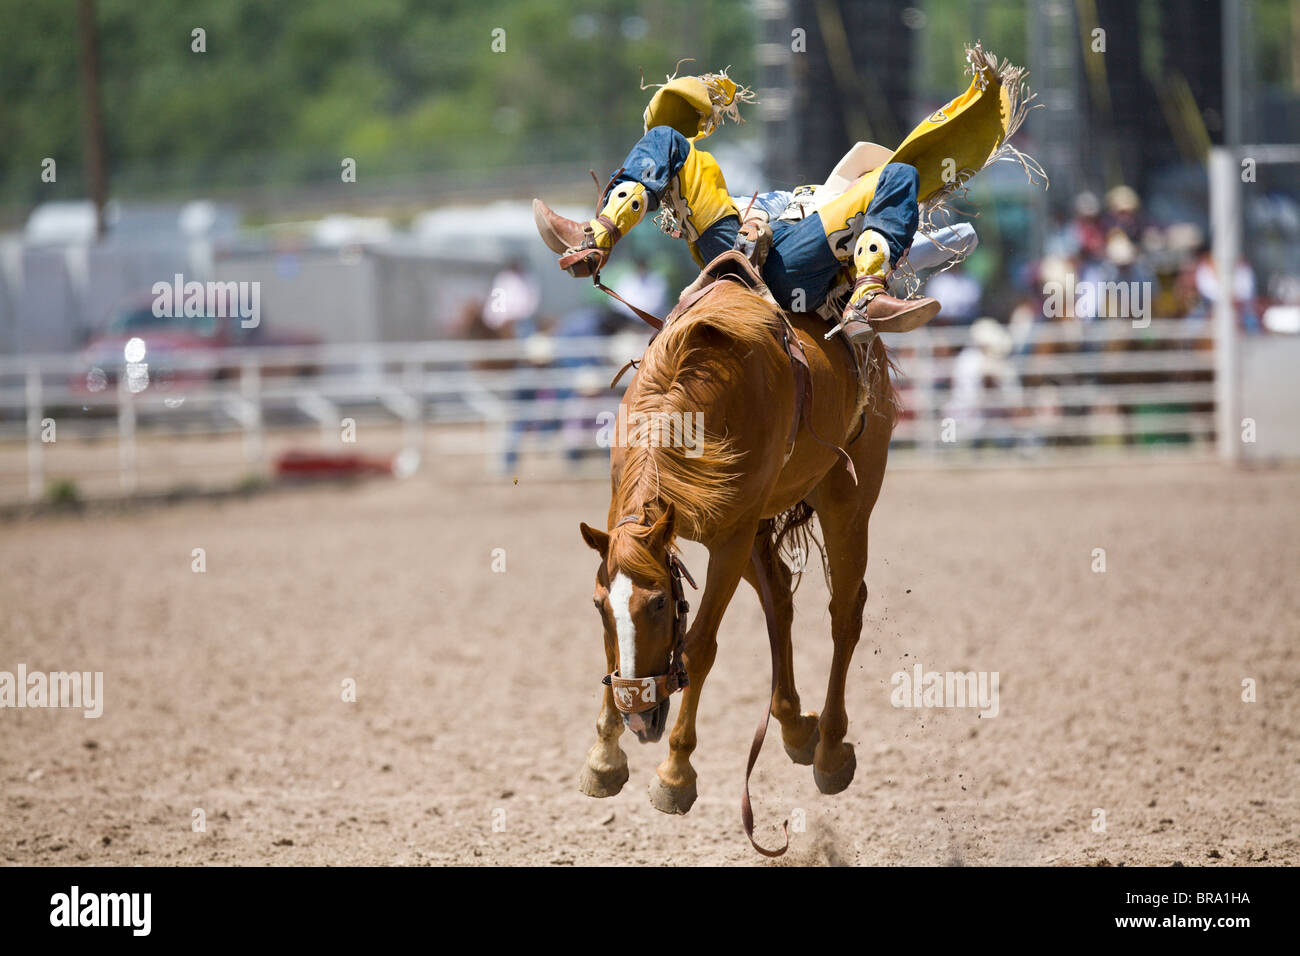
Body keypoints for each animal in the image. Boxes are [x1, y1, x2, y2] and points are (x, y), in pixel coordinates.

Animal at [577, 277, 894, 853]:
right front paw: (606, 758)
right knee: (780, 598)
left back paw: (830, 749)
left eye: (661, 603)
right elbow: (614, 649)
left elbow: (700, 648)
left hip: (846, 498)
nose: (639, 716)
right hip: (760, 530)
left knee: (844, 612)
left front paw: (675, 774)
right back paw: (794, 725)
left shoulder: (730, 538)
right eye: (598, 606)